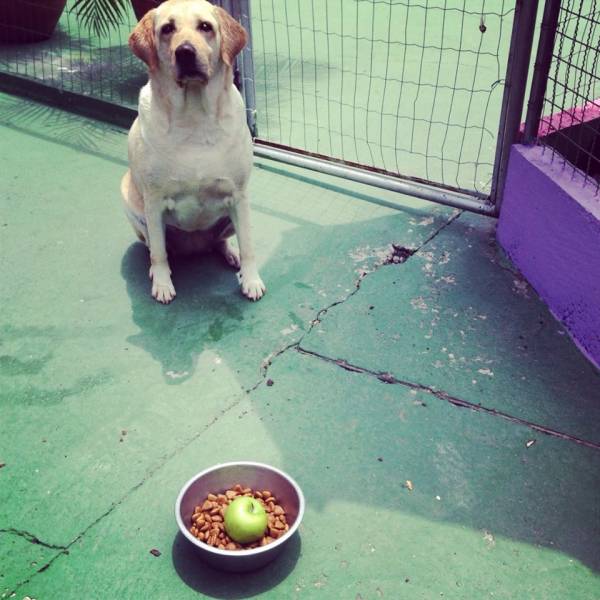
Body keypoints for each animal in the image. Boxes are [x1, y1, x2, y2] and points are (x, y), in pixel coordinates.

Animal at [119, 0, 264, 302]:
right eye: (167, 29)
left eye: (205, 27)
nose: (185, 52)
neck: (194, 117)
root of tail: (194, 246)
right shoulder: (154, 200)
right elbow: (159, 253)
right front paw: (163, 284)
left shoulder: (239, 195)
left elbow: (248, 245)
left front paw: (251, 280)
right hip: (132, 205)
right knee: (156, 248)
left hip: (230, 218)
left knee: (221, 242)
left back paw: (230, 255)